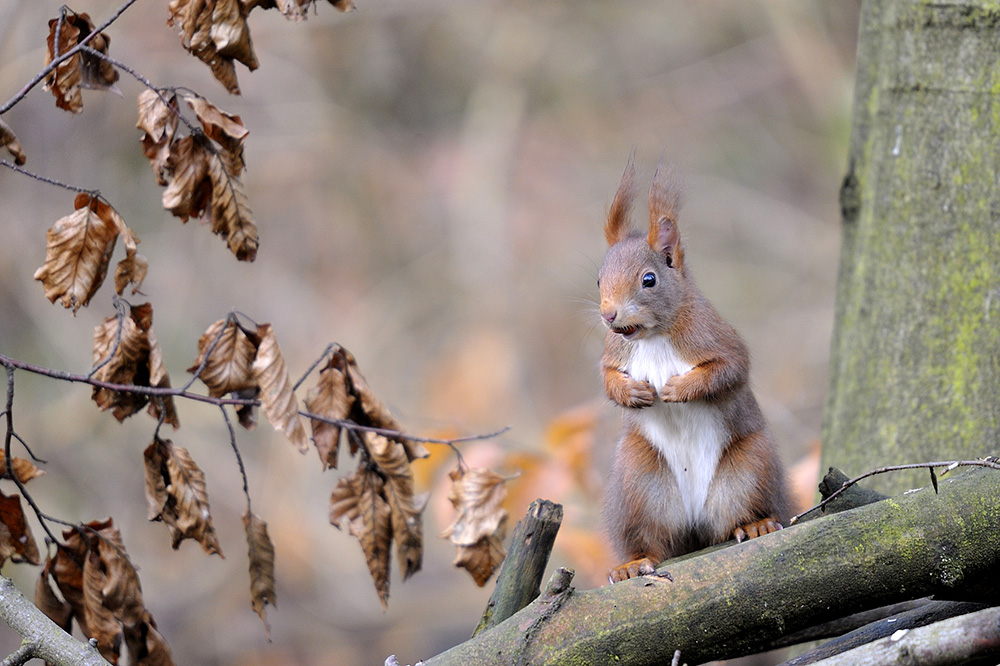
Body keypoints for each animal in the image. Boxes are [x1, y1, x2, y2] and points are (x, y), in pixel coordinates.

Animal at [592, 160, 788, 580]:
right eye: (598, 280)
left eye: (649, 280)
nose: (608, 315)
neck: (652, 335)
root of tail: (695, 523)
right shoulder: (613, 353)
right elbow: (608, 380)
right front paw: (634, 393)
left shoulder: (715, 339)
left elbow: (728, 370)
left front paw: (677, 389)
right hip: (638, 483)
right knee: (651, 542)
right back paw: (634, 564)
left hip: (750, 468)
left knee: (738, 516)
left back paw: (756, 524)